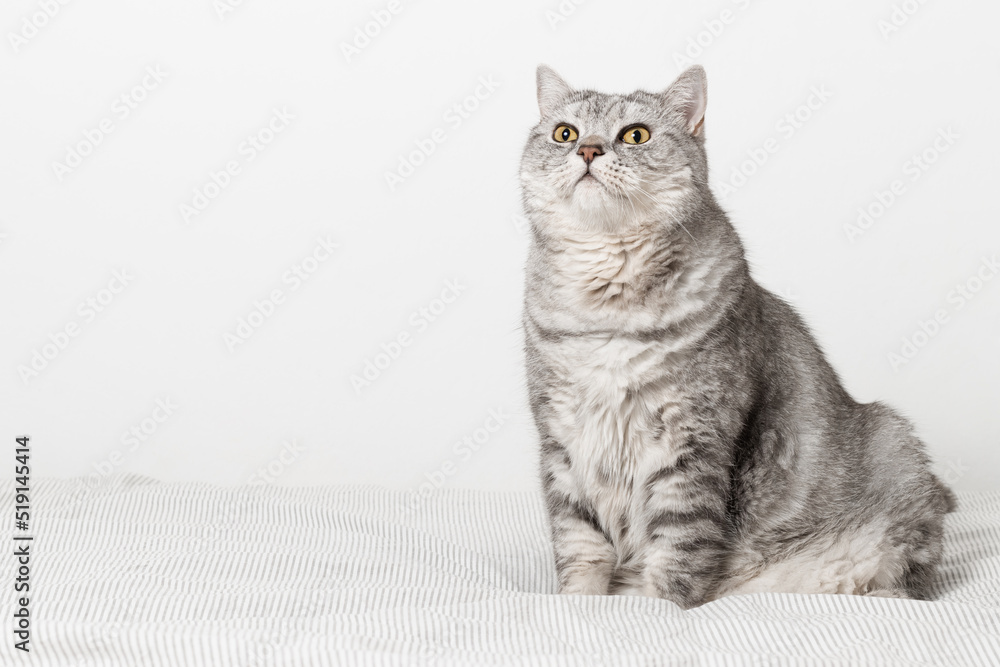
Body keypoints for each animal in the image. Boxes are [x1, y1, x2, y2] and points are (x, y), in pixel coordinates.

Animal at [520, 65, 956, 608]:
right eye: (565, 133)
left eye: (635, 135)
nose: (588, 150)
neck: (607, 307)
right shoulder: (560, 440)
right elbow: (579, 543)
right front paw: (579, 600)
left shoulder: (693, 443)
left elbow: (677, 551)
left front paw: (655, 607)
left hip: (894, 447)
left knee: (908, 581)